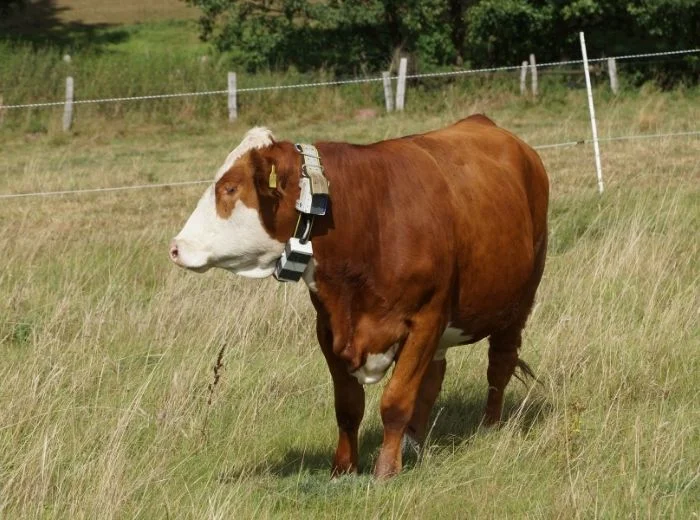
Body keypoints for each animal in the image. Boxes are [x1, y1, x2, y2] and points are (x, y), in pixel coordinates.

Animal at [169, 115, 549, 479]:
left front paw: (386, 471)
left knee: (499, 364)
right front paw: (343, 469)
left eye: (231, 187)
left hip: (519, 300)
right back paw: (414, 442)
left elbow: (395, 401)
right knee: (435, 376)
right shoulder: (328, 329)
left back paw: (490, 428)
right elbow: (349, 406)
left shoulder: (426, 320)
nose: (176, 247)